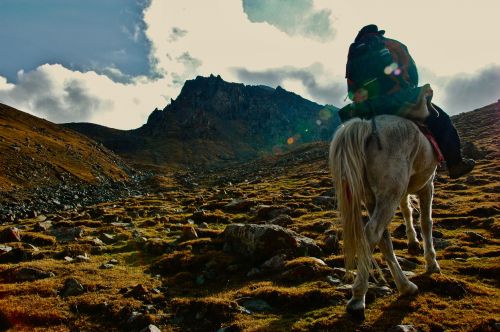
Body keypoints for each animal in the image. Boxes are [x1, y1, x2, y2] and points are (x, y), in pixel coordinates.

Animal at [330, 88, 440, 320]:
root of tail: (366, 125)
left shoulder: (404, 191)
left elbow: (407, 210)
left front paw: (412, 241)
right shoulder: (428, 184)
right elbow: (426, 222)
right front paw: (432, 263)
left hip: (375, 197)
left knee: (383, 238)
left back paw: (405, 286)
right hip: (390, 193)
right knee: (372, 232)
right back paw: (358, 298)